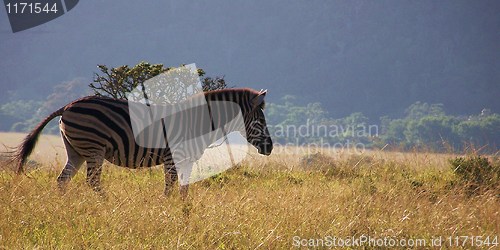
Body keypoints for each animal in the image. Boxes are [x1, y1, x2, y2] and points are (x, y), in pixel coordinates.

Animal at [13, 88, 274, 197]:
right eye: (261, 120)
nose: (270, 148)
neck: (198, 121)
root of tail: (67, 105)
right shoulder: (173, 157)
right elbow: (170, 187)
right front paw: (166, 209)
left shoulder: (187, 160)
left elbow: (184, 189)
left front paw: (185, 213)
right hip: (94, 148)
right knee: (92, 182)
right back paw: (107, 204)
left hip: (76, 150)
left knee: (62, 180)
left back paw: (65, 205)